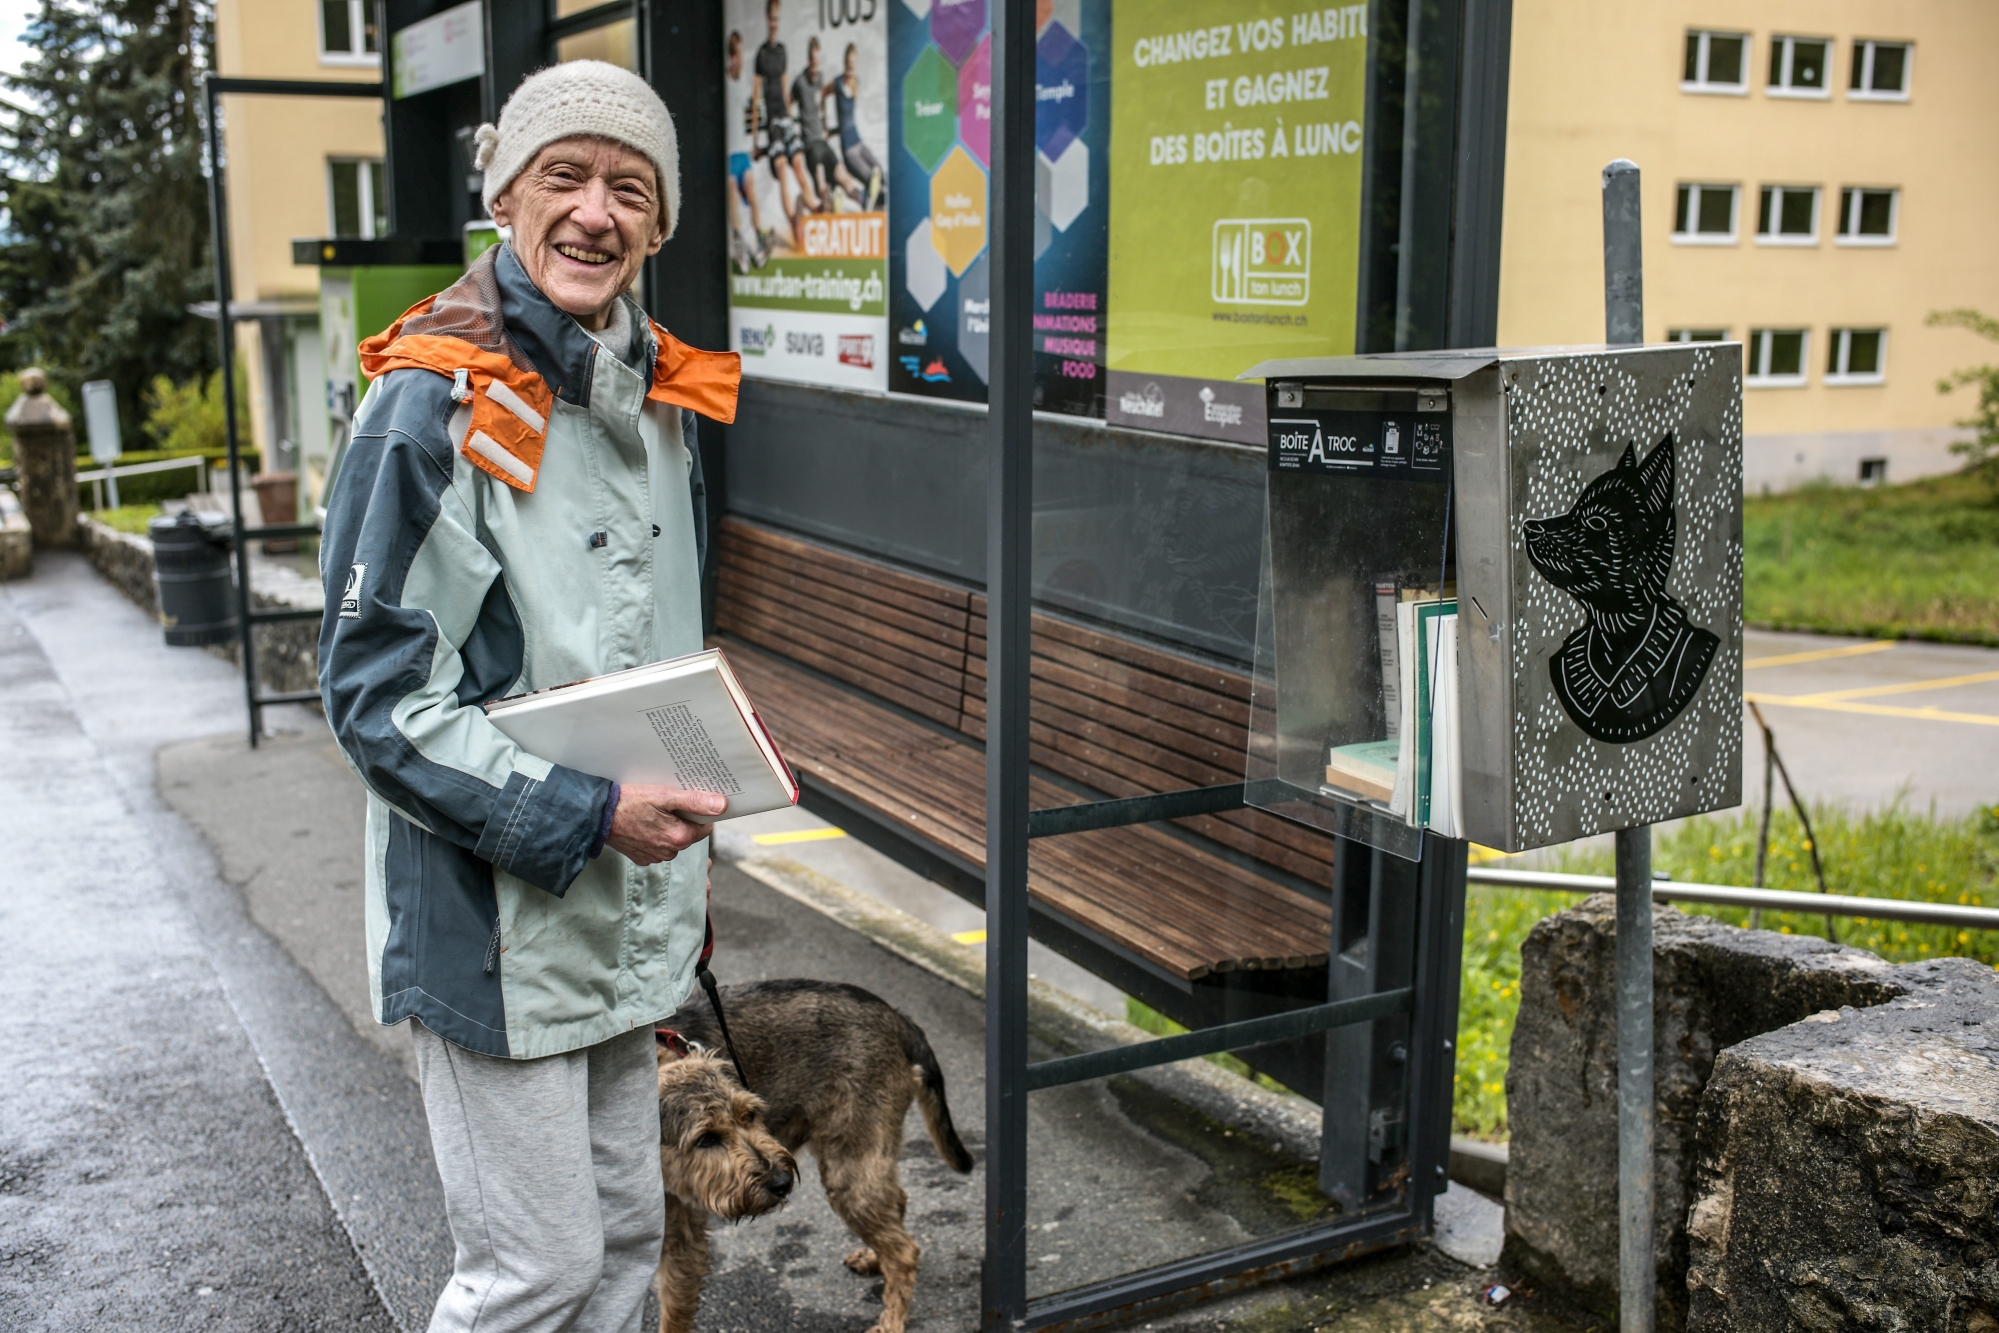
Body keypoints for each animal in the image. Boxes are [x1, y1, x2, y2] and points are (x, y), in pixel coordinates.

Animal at [651, 979, 971, 1333]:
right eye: (706, 1139)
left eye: (750, 1115)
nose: (782, 1182)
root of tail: (896, 1017)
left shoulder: (680, 1244)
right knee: (896, 1205)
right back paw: (875, 1258)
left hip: (849, 1167)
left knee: (905, 1251)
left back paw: (890, 1320)